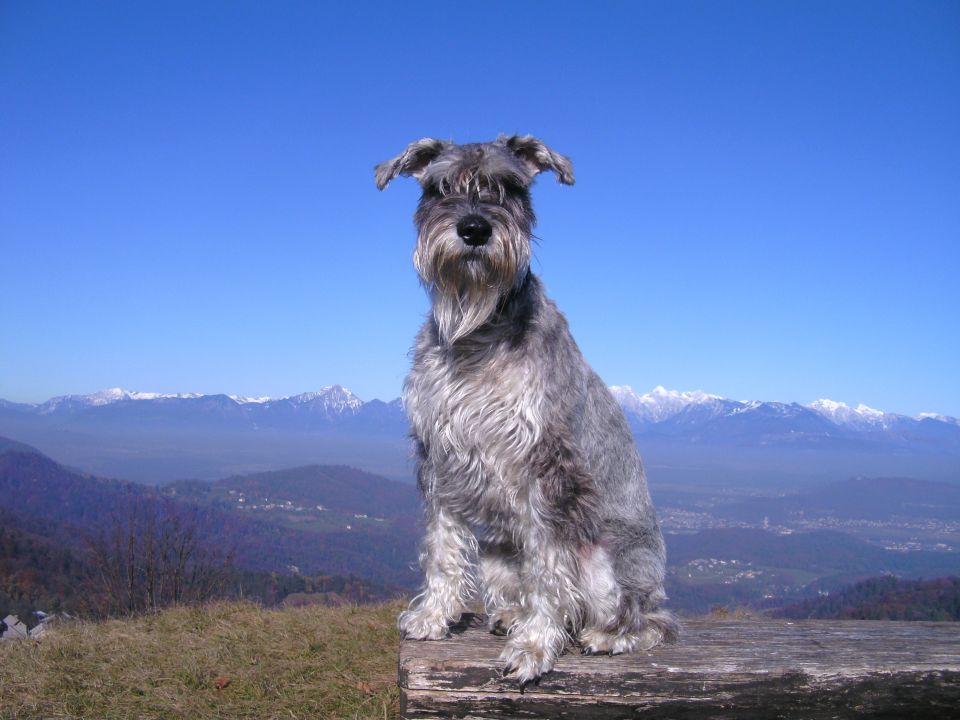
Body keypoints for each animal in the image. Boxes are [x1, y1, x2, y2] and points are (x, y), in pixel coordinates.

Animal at [374, 136, 676, 688]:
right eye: (438, 187)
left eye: (510, 186)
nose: (474, 229)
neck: (477, 332)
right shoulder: (438, 455)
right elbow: (442, 547)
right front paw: (433, 615)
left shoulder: (549, 467)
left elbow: (549, 569)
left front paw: (534, 647)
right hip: (498, 547)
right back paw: (509, 615)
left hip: (609, 568)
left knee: (651, 620)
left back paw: (606, 636)